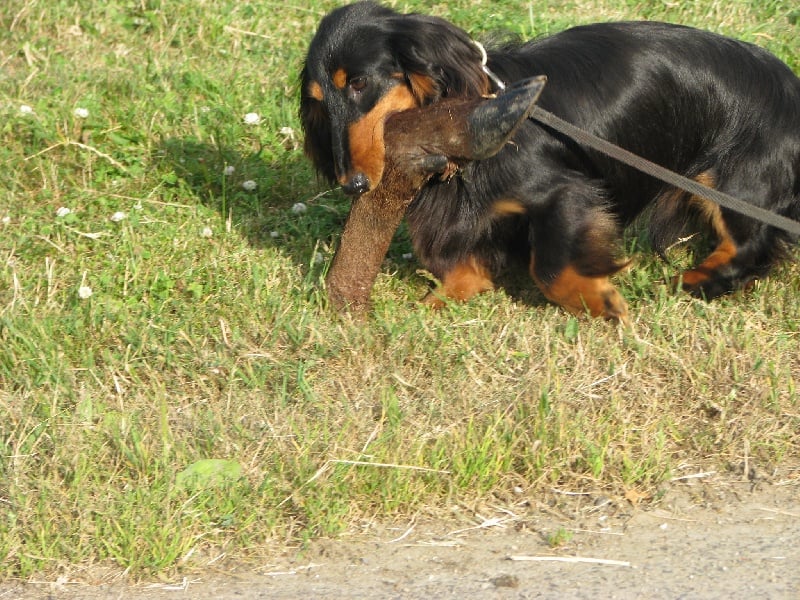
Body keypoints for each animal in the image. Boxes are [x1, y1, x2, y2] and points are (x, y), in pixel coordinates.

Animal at [300, 2, 800, 322]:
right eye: (319, 102)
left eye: (359, 83)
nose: (352, 185)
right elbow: (464, 267)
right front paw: (436, 303)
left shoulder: (565, 192)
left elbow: (550, 268)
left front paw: (601, 302)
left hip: (730, 179)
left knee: (749, 244)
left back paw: (692, 281)